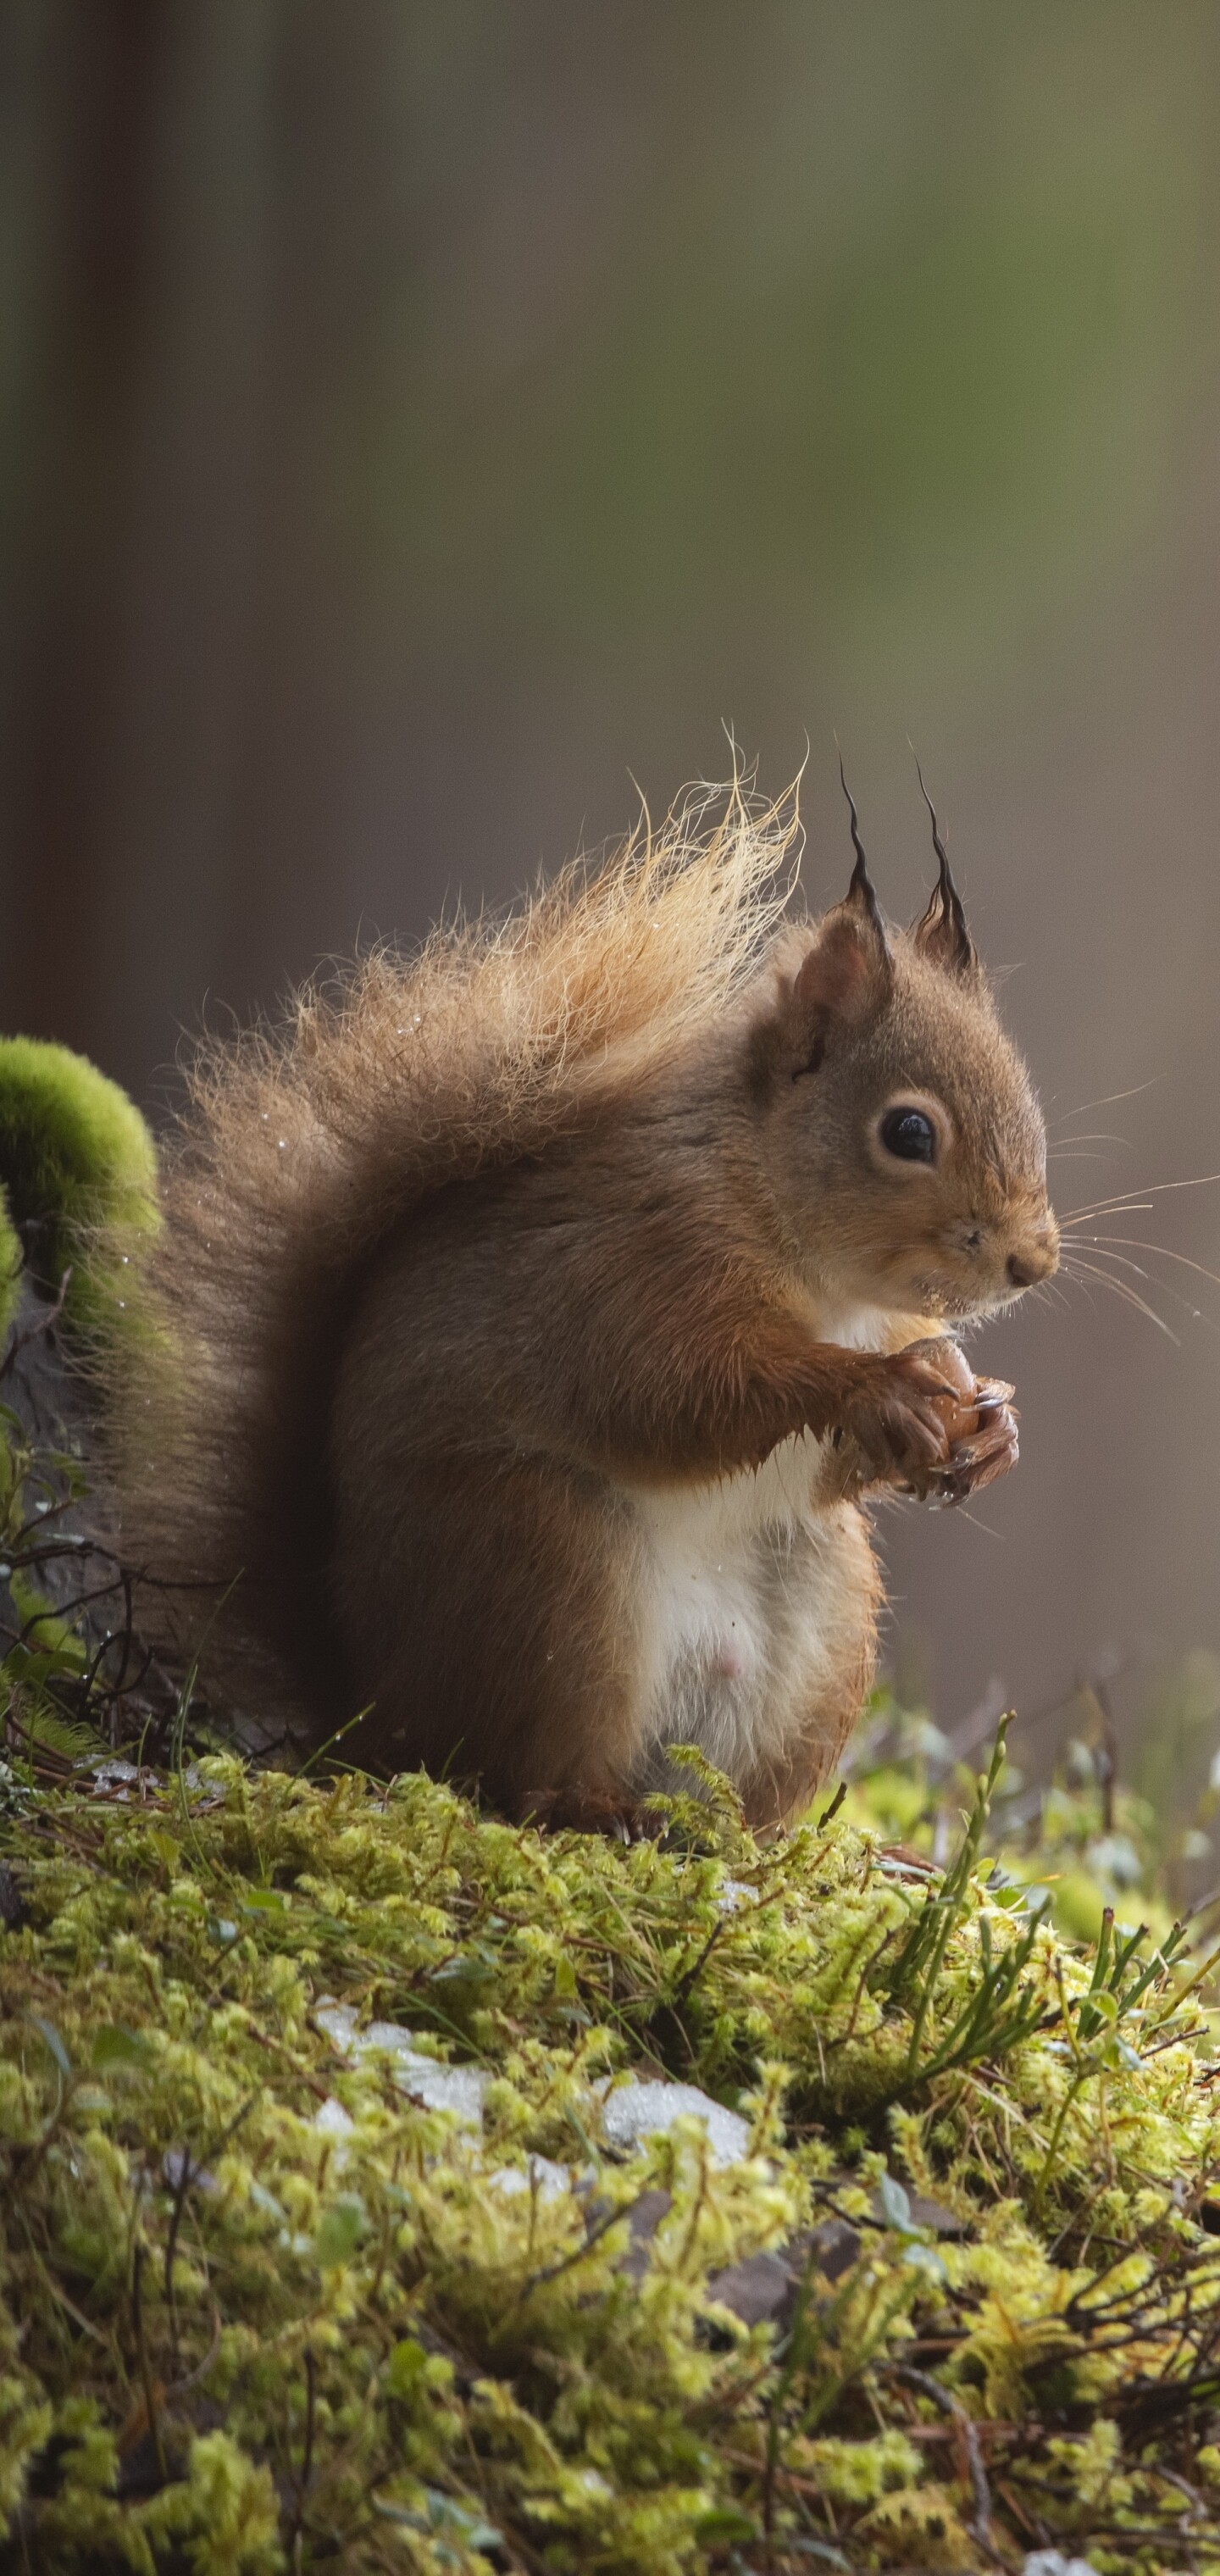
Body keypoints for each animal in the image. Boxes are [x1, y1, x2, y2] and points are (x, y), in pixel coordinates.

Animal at [119, 773, 1060, 1824]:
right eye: (907, 1131)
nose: (1033, 1262)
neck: (825, 1276)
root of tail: (370, 1701)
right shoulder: (634, 1259)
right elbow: (675, 1391)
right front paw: (879, 1387)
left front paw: (986, 1418)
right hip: (548, 1571)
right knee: (515, 1769)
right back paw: (592, 1803)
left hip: (825, 1605)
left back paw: (738, 1831)